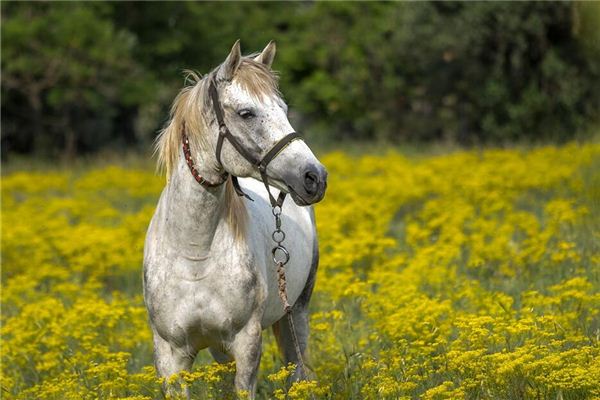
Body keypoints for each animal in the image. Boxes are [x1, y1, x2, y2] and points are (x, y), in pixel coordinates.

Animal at [142, 39, 328, 396]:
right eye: (246, 113)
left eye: (284, 110)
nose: (315, 177)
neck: (195, 254)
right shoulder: (170, 355)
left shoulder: (246, 343)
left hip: (295, 314)